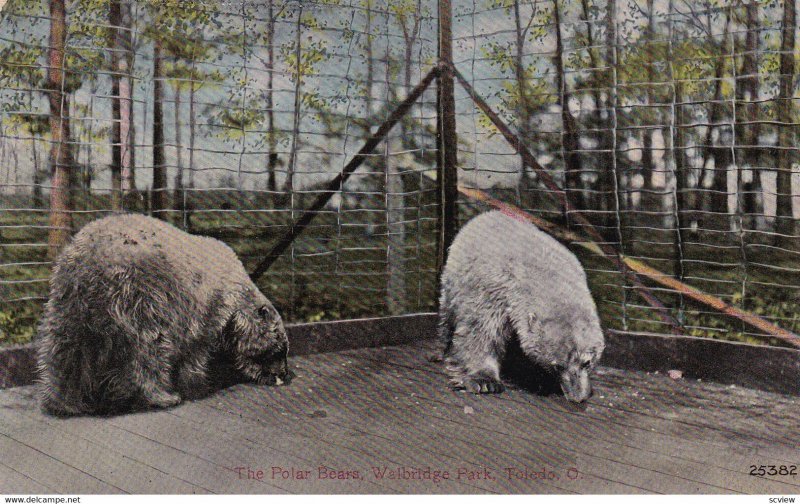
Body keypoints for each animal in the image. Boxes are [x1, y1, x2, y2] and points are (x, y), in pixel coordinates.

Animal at [37, 213, 292, 414]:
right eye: (279, 350)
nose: (284, 376)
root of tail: (91, 263)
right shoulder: (203, 307)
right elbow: (195, 349)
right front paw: (197, 385)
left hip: (68, 300)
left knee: (64, 347)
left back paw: (63, 400)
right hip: (141, 295)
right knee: (149, 347)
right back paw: (162, 396)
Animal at [438, 211, 608, 404]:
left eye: (587, 362)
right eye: (558, 366)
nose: (577, 396)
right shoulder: (493, 292)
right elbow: (482, 332)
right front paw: (485, 380)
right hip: (454, 279)